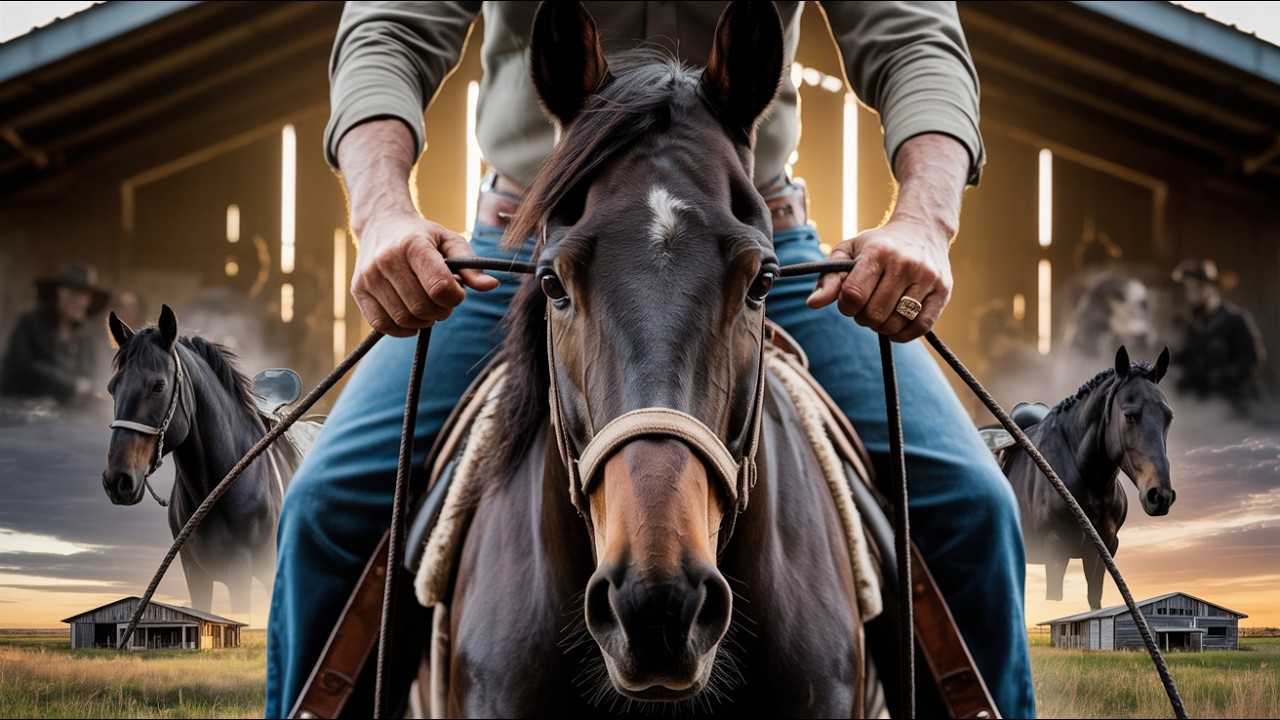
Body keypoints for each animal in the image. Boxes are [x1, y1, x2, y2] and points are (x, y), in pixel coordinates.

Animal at [1001, 345, 1175, 610]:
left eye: (1168, 416)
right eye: (1128, 415)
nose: (1161, 495)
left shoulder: (1103, 550)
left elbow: (1094, 601)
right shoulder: (1055, 549)